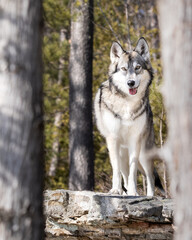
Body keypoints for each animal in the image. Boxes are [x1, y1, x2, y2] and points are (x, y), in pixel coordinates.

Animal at [94, 37, 156, 195]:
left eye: (138, 67)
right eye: (123, 69)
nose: (131, 83)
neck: (127, 103)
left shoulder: (135, 140)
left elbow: (133, 170)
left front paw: (134, 193)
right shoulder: (112, 140)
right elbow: (116, 169)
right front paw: (116, 190)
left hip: (144, 154)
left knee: (150, 177)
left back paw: (149, 196)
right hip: (122, 152)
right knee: (124, 173)